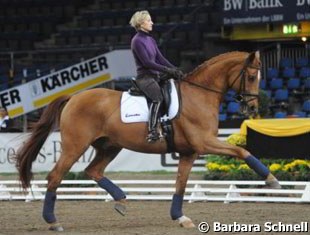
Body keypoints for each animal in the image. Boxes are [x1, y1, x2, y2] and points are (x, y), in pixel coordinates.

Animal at [14, 51, 280, 231]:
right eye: (252, 76)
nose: (253, 108)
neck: (200, 94)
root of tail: (73, 97)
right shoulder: (204, 142)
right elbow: (242, 152)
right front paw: (271, 179)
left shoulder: (189, 152)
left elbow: (181, 184)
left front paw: (180, 217)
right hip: (75, 146)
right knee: (55, 177)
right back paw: (53, 221)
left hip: (110, 145)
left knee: (93, 170)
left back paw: (121, 200)